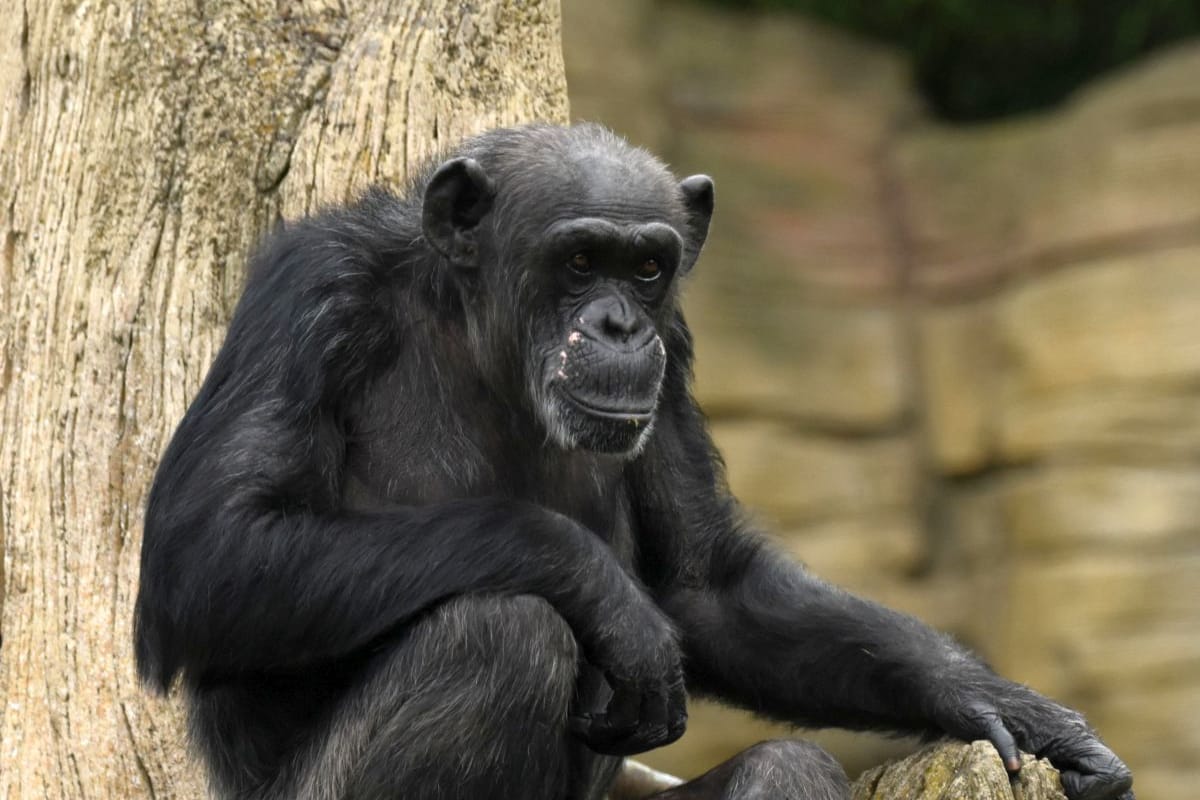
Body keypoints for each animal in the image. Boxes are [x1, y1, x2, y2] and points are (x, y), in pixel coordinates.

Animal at [133, 123, 1132, 800]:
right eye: (580, 260)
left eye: (647, 268)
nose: (619, 324)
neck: (475, 326)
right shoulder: (312, 292)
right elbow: (214, 551)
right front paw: (609, 595)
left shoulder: (677, 345)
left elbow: (708, 586)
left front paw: (1001, 705)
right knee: (499, 632)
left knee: (788, 763)